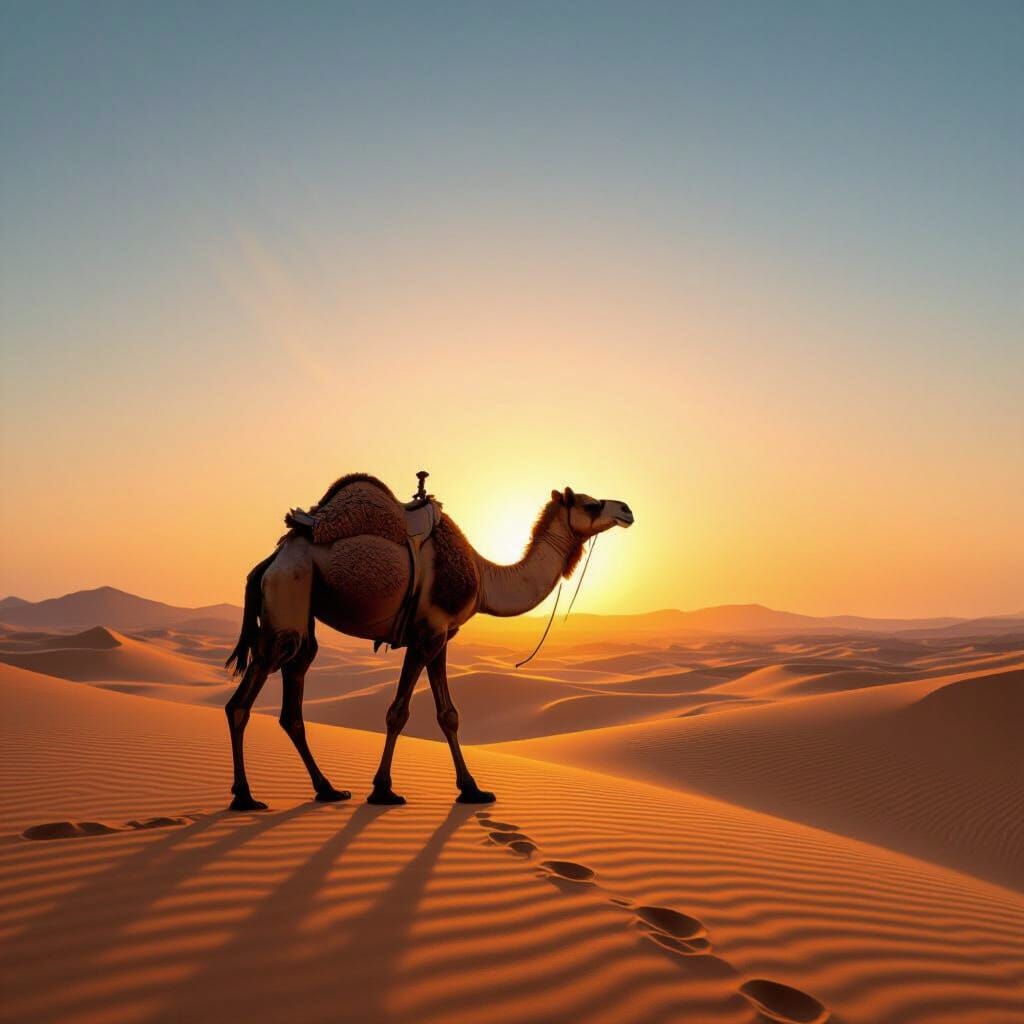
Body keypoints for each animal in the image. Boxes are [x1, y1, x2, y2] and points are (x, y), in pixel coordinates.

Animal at [224, 473, 634, 810]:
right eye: (590, 503)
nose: (627, 509)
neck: (484, 576)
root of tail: (271, 560)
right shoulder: (427, 633)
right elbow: (398, 712)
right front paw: (383, 790)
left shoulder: (442, 636)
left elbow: (448, 715)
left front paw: (472, 790)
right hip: (289, 594)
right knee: (243, 699)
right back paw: (245, 797)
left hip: (301, 605)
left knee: (293, 700)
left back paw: (328, 790)